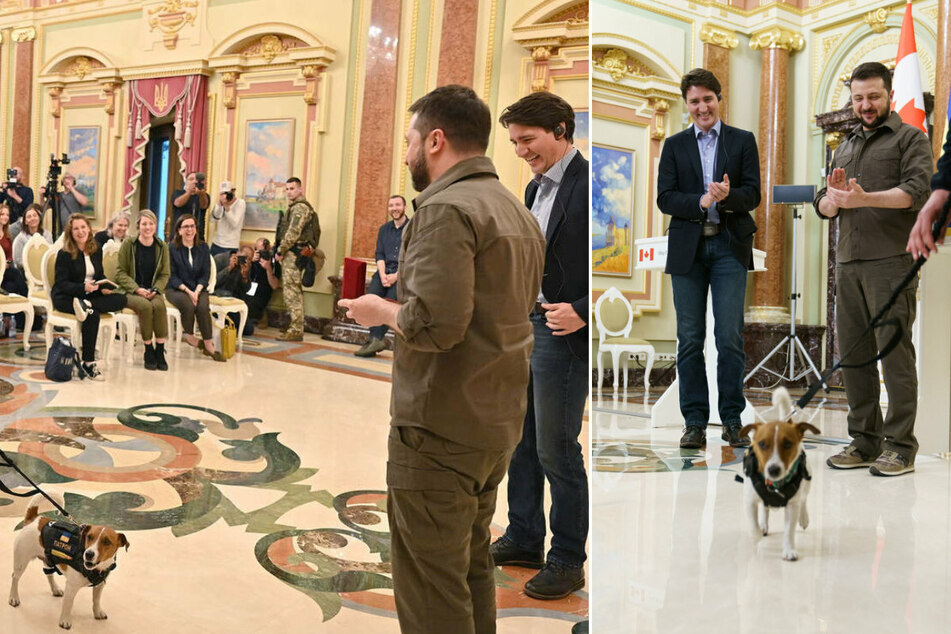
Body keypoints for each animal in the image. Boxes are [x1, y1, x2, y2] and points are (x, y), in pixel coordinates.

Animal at [9, 494, 129, 628]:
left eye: (107, 542)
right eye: (89, 537)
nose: (88, 554)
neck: (95, 569)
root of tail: (35, 519)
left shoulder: (99, 586)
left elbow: (96, 600)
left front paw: (97, 612)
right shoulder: (71, 586)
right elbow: (68, 604)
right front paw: (65, 620)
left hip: (48, 559)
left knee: (49, 574)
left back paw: (55, 589)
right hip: (21, 561)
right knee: (15, 577)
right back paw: (13, 597)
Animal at [744, 386, 820, 556]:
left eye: (787, 444)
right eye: (762, 444)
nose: (773, 469)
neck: (775, 485)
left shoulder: (792, 506)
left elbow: (789, 531)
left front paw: (789, 550)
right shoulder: (750, 501)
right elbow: (753, 525)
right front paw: (756, 535)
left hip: (807, 482)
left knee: (803, 499)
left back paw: (803, 518)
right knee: (765, 509)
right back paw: (764, 525)